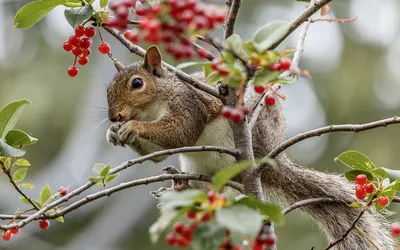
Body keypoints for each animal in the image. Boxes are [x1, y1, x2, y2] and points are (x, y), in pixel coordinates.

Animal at [105, 46, 394, 249]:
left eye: (137, 83)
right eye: (107, 89)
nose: (114, 117)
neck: (152, 109)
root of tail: (271, 162)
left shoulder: (188, 103)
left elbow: (182, 134)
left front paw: (133, 127)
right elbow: (154, 155)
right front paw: (114, 133)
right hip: (196, 164)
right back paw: (180, 185)